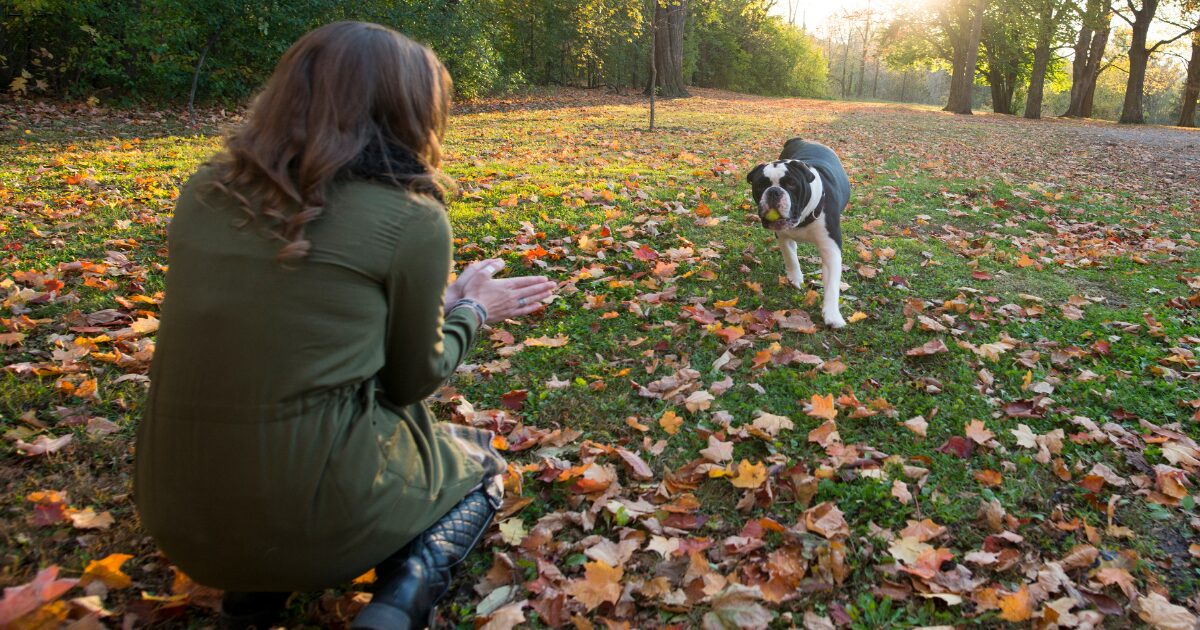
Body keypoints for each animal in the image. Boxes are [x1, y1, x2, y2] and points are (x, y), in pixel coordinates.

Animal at [744, 138, 849, 328]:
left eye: (791, 184)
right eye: (761, 185)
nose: (774, 191)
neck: (803, 217)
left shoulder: (830, 250)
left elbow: (832, 285)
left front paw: (832, 314)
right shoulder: (783, 236)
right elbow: (790, 257)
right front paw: (795, 278)